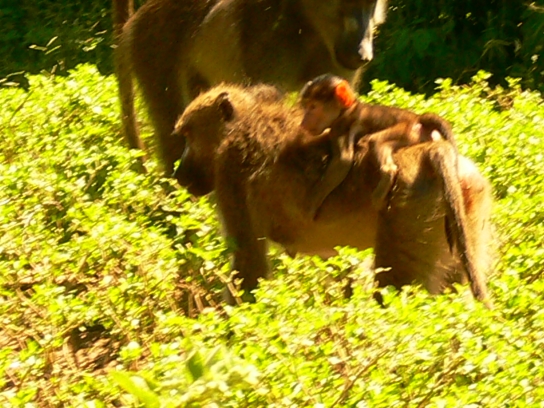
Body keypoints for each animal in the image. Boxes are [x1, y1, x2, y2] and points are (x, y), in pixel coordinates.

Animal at [112, 0, 389, 173]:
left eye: (370, 4)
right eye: (348, 5)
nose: (363, 53)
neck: (309, 23)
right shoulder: (263, 32)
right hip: (153, 51)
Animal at [298, 74, 457, 216]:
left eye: (313, 107)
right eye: (306, 106)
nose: (303, 122)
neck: (349, 108)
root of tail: (418, 119)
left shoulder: (340, 126)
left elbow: (343, 161)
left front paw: (312, 203)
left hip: (406, 131)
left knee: (376, 141)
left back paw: (385, 178)